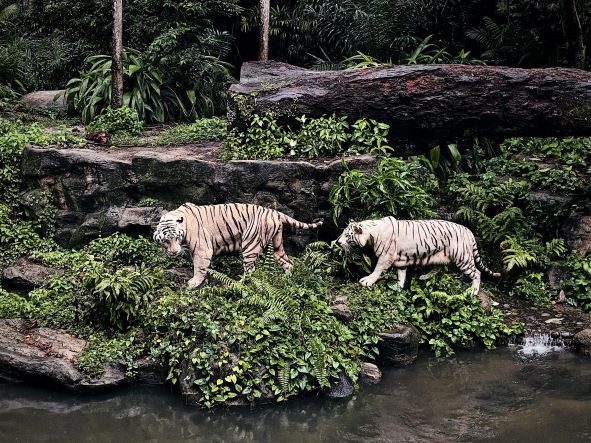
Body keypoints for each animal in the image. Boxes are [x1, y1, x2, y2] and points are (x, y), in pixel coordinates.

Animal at [150, 204, 322, 290]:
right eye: (165, 241)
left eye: (176, 238)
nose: (174, 252)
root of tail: (274, 212)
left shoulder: (202, 249)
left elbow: (199, 267)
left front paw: (194, 283)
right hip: (277, 243)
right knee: (287, 262)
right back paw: (288, 279)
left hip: (250, 244)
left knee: (250, 271)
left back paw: (239, 284)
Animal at [338, 217, 500, 294]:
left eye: (347, 235)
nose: (338, 242)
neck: (372, 233)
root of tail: (469, 231)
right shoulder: (400, 261)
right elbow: (401, 275)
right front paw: (398, 288)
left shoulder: (385, 257)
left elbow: (377, 269)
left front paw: (367, 281)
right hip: (439, 255)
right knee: (439, 268)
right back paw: (424, 276)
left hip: (462, 257)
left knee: (477, 272)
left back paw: (473, 291)